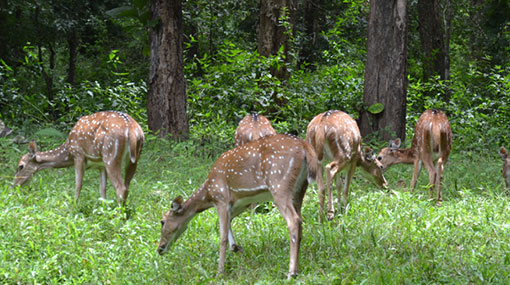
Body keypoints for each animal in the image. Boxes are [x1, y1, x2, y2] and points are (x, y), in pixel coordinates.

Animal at [13, 110, 144, 205]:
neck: (68, 151)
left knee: (121, 188)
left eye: (20, 166)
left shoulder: (78, 155)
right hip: (133, 159)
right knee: (127, 187)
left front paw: (74, 207)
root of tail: (132, 129)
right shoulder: (100, 165)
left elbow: (78, 185)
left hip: (111, 155)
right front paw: (104, 210)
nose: (13, 185)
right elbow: (102, 190)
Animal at [159, 134, 316, 278]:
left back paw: (291, 272)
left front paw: (219, 272)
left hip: (279, 184)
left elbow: (221, 237)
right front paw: (236, 247)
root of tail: (304, 146)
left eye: (162, 221)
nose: (159, 249)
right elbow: (227, 224)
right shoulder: (240, 203)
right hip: (300, 188)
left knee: (293, 220)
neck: (208, 193)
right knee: (300, 220)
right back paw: (297, 268)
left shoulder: (221, 198)